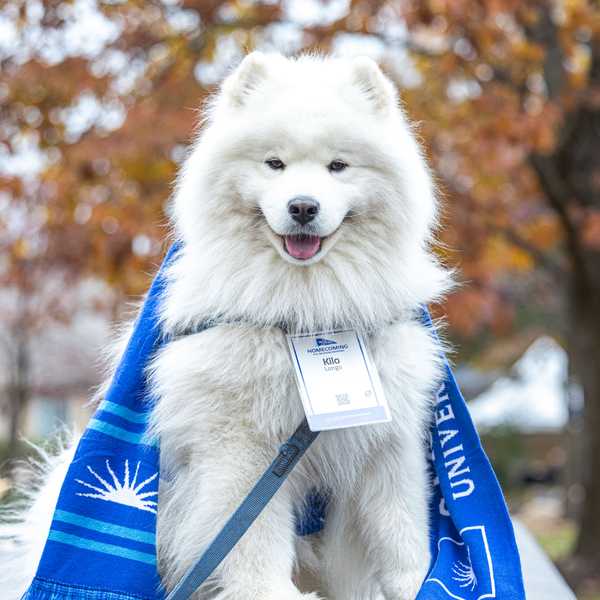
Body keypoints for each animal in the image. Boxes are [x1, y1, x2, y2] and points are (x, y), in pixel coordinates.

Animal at [2, 52, 450, 600]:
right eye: (274, 164)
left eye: (338, 166)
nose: (303, 206)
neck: (305, 313)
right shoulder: (242, 448)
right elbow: (254, 545)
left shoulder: (389, 443)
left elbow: (403, 539)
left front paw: (424, 584)